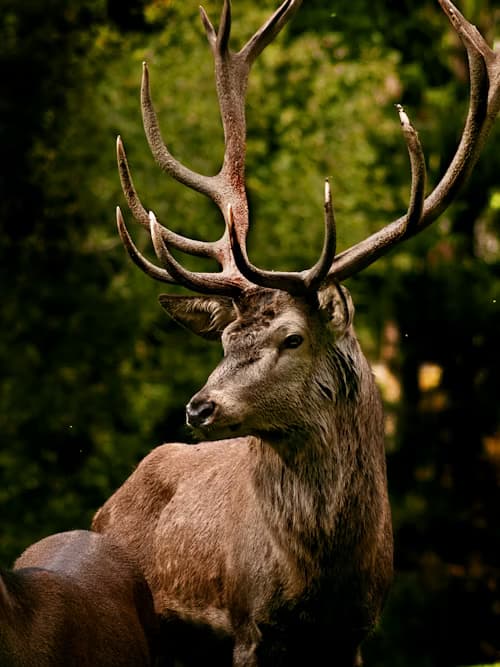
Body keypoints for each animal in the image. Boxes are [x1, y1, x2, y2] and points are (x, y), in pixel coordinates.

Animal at [92, 1, 500, 665]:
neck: (322, 584)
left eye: (292, 338)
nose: (199, 407)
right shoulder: (247, 627)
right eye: (226, 340)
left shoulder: (356, 634)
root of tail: (107, 507)